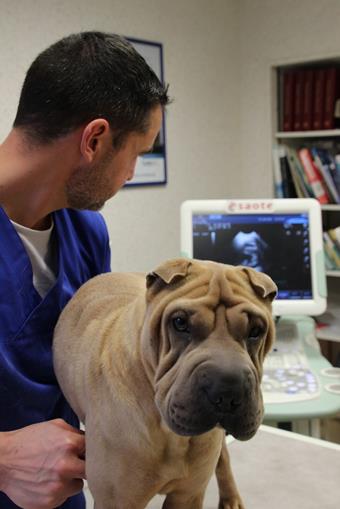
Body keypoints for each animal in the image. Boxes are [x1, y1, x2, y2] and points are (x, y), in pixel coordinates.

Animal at [52, 258, 276, 508]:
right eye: (179, 322)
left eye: (256, 331)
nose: (227, 389)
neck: (170, 435)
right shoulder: (118, 500)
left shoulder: (188, 494)